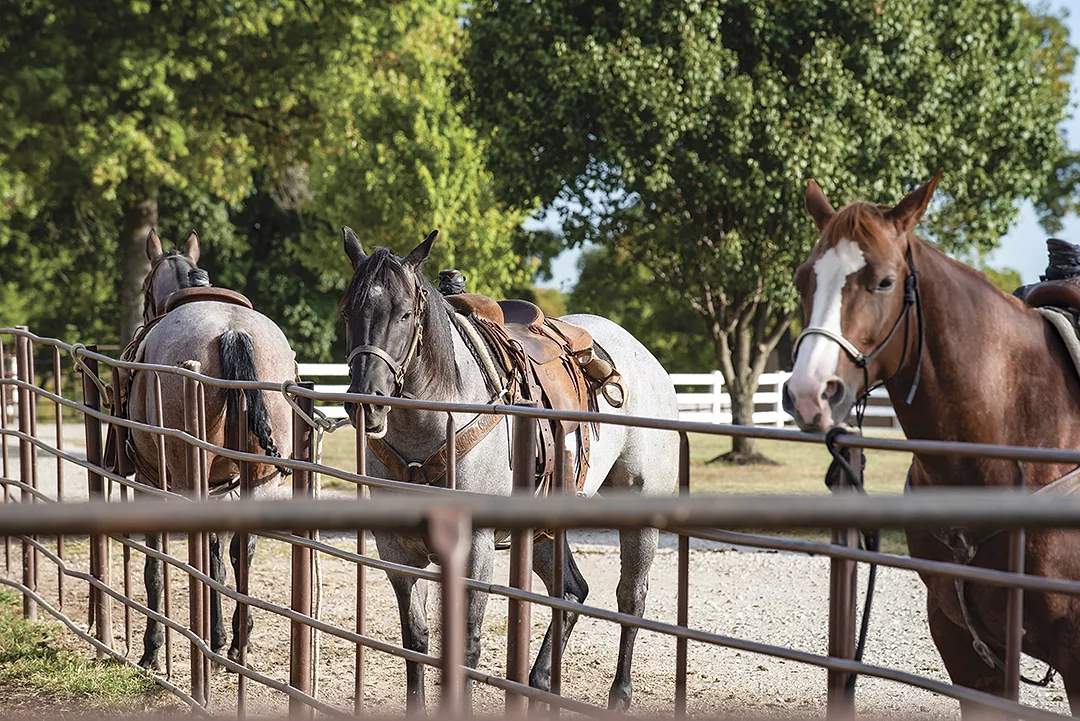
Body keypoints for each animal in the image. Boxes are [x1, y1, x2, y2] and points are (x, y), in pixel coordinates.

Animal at [125, 230, 297, 670]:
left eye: (144, 286)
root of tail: (232, 332)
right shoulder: (223, 486)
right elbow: (219, 559)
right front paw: (220, 637)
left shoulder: (152, 481)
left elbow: (156, 565)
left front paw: (152, 650)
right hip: (258, 480)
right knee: (242, 550)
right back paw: (237, 641)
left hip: (187, 479)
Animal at [337, 228, 680, 712]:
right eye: (349, 310)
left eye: (405, 313)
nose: (366, 401)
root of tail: (644, 358)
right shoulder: (396, 550)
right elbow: (416, 639)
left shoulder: (475, 548)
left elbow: (467, 644)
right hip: (542, 528)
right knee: (571, 590)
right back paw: (538, 682)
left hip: (639, 510)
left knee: (631, 597)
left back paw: (619, 695)